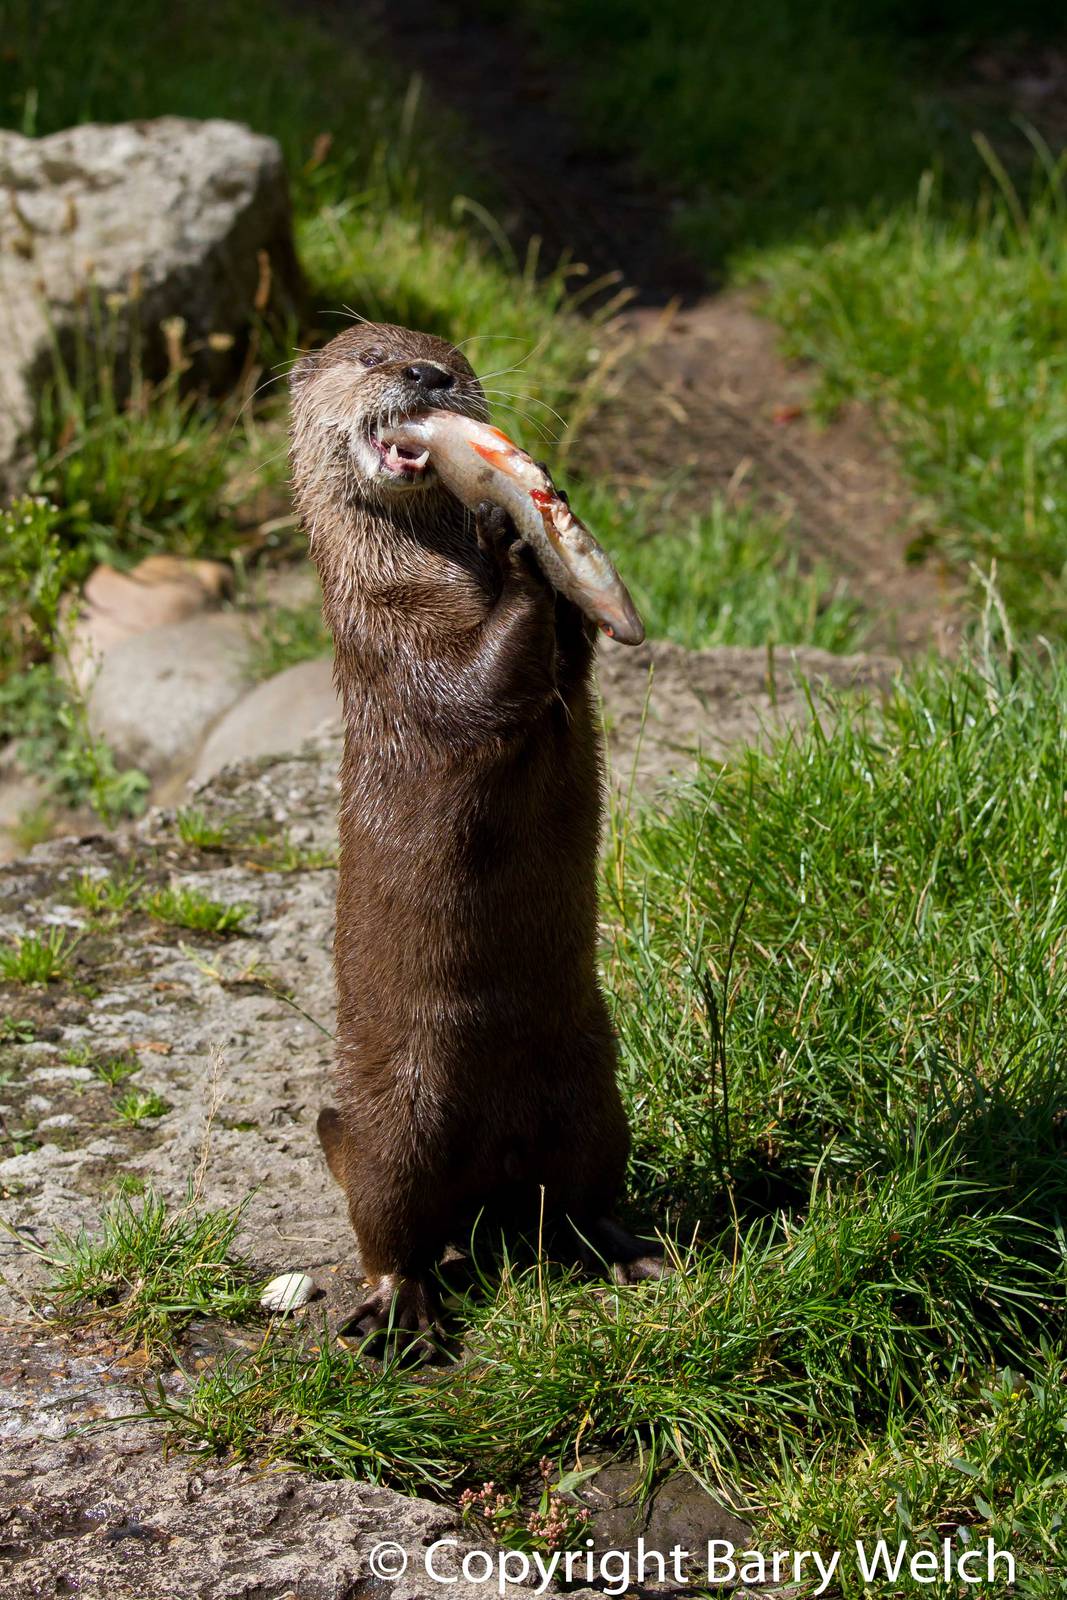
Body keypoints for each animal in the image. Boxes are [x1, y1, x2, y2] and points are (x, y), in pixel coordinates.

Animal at [290, 321, 661, 1347]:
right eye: (372, 359)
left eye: (450, 360)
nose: (427, 376)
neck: (420, 579)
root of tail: (485, 1192)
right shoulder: (397, 654)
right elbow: (481, 684)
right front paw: (518, 540)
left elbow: (568, 663)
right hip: (396, 1118)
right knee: (389, 1224)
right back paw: (401, 1315)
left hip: (594, 1091)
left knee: (575, 1195)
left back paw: (627, 1248)